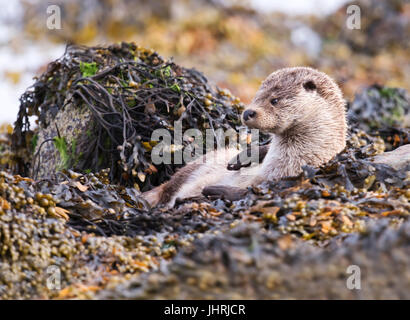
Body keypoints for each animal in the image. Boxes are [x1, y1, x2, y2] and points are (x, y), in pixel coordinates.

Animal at [144, 67, 346, 208]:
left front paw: (214, 191)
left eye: (274, 100)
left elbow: (246, 193)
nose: (248, 112)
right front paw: (242, 158)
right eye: (256, 97)